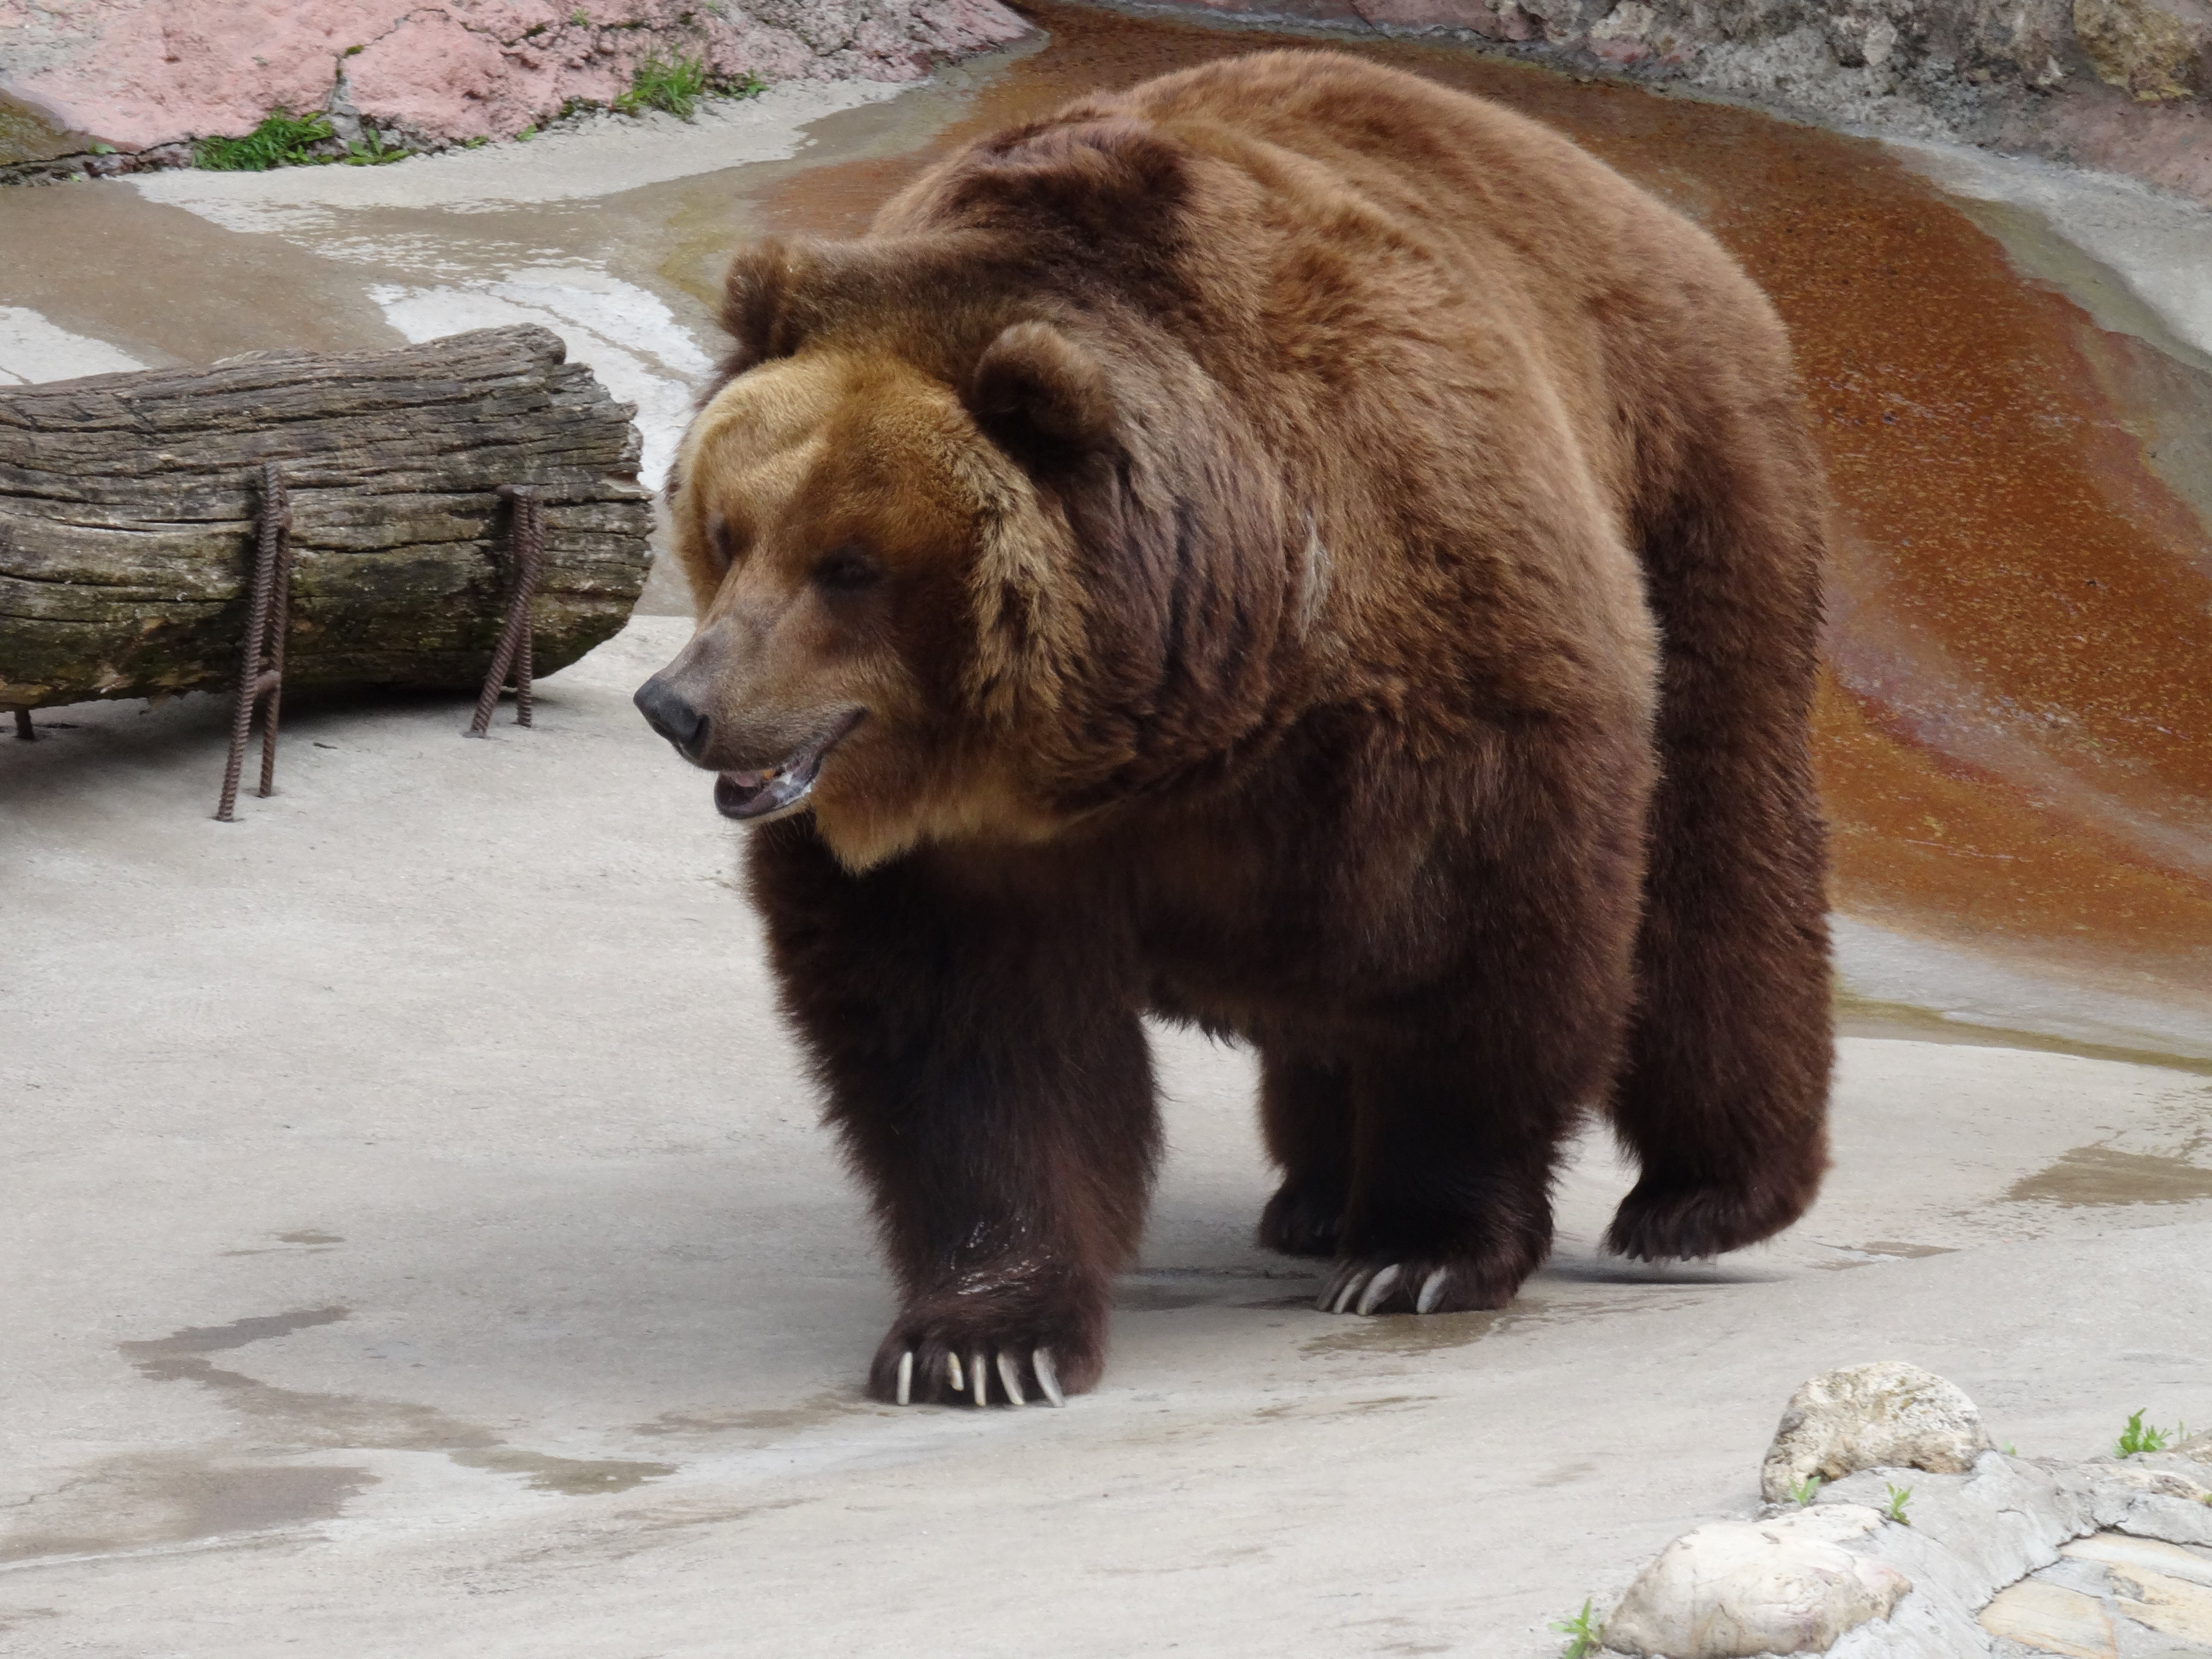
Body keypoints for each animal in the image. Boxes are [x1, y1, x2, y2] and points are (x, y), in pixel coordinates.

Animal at [632, 45, 1822, 1407]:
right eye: (728, 530)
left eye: (851, 565)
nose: (683, 705)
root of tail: (1645, 204)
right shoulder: (967, 852)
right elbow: (967, 1046)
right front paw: (982, 1338)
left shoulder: (1440, 664)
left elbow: (1481, 943)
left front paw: (1420, 1253)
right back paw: (1311, 1194)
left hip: (1689, 474)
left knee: (1716, 844)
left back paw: (1703, 1198)